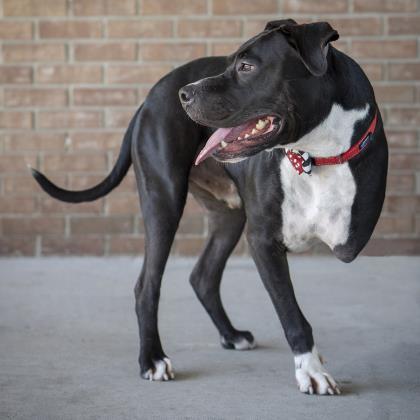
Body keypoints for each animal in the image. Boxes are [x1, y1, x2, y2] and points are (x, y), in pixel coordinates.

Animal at [31, 18, 388, 394]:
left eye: (246, 67)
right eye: (230, 62)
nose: (185, 95)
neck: (316, 154)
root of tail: (149, 98)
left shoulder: (349, 233)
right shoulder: (263, 241)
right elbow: (291, 313)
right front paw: (311, 369)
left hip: (229, 216)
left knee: (203, 275)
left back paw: (231, 335)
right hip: (164, 200)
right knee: (147, 285)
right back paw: (152, 359)